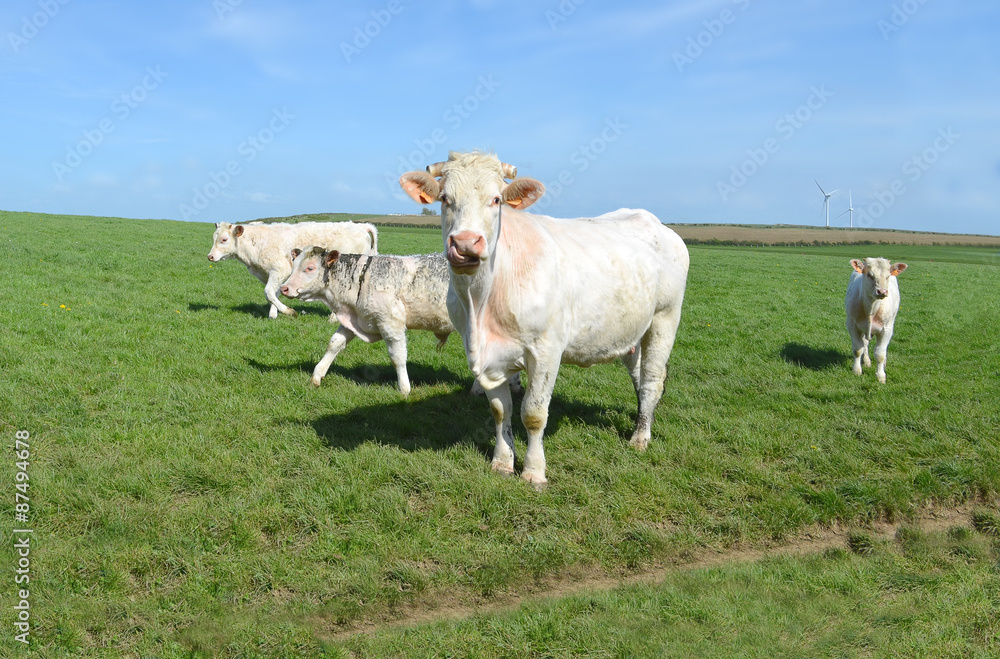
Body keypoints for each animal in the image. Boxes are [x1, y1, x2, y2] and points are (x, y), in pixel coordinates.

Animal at [207, 221, 377, 319]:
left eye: (224, 239)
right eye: (214, 238)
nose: (210, 256)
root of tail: (360, 226)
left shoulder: (279, 270)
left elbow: (268, 292)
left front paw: (287, 311)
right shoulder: (273, 274)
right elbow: (274, 293)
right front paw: (273, 314)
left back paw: (334, 318)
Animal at [279, 246, 520, 397]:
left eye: (310, 268)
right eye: (294, 264)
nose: (284, 288)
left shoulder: (391, 324)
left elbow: (397, 358)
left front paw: (404, 388)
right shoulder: (356, 320)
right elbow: (334, 343)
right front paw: (317, 375)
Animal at [400, 151, 689, 487]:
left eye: (496, 199)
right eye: (445, 198)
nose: (465, 244)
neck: (481, 303)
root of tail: (654, 222)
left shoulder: (546, 351)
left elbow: (533, 414)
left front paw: (533, 471)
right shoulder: (487, 355)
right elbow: (500, 410)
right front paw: (502, 462)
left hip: (664, 318)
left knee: (652, 379)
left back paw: (640, 437)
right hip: (629, 330)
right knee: (640, 377)